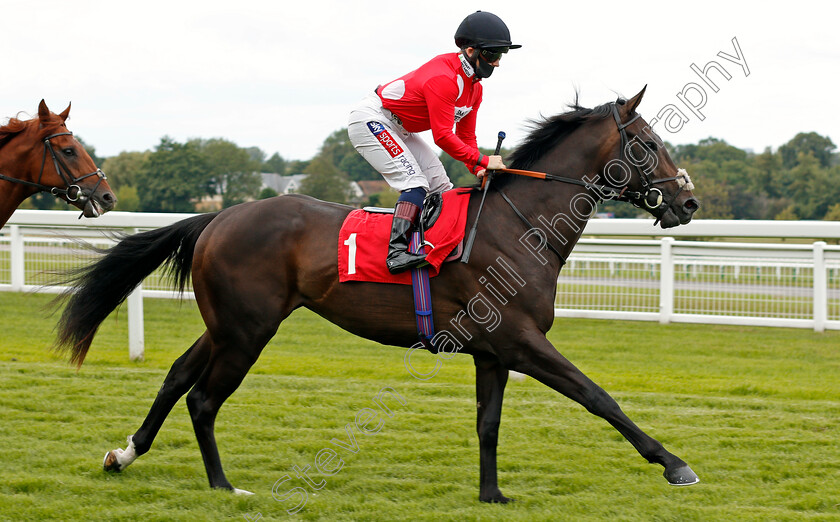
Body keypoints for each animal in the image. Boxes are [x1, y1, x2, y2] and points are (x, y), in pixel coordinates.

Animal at [55, 87, 704, 502]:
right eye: (647, 143)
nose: (688, 201)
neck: (521, 225)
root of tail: (217, 217)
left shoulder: (493, 351)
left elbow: (488, 423)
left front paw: (491, 494)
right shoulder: (520, 340)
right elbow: (598, 396)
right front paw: (675, 465)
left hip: (227, 325)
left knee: (176, 378)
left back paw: (125, 454)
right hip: (247, 330)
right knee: (204, 399)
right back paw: (222, 485)